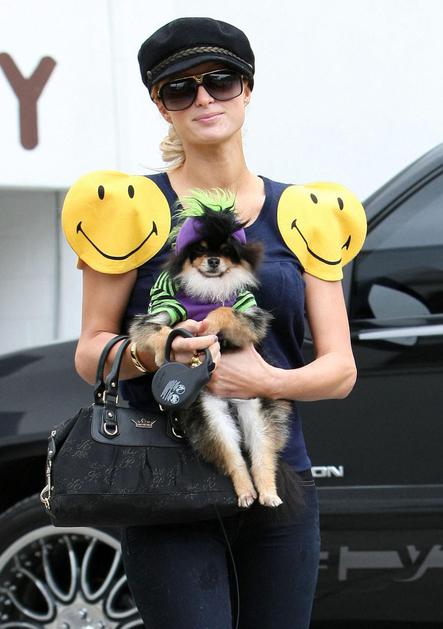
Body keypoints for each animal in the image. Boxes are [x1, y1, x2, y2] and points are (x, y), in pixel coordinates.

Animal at [129, 191, 291, 508]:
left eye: (227, 252)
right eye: (199, 251)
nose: (214, 261)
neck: (207, 290)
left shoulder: (249, 317)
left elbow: (225, 312)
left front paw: (211, 320)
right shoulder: (159, 312)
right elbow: (157, 331)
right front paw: (165, 349)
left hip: (255, 409)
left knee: (261, 455)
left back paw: (268, 493)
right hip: (210, 415)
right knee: (234, 458)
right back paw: (246, 492)